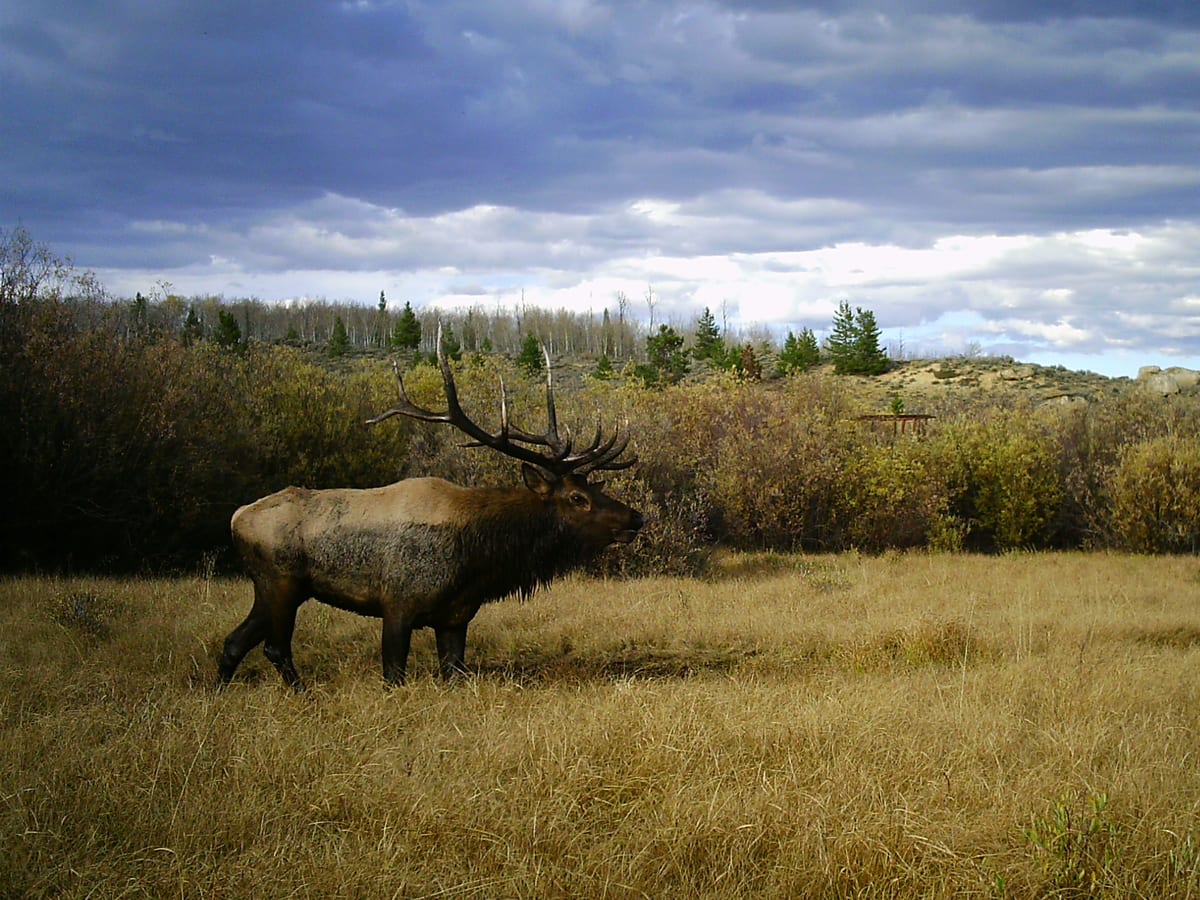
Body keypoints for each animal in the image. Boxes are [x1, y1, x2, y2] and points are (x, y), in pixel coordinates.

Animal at [218, 331, 643, 688]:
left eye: (592, 489)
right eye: (577, 498)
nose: (635, 518)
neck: (477, 561)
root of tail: (237, 517)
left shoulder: (455, 618)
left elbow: (454, 672)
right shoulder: (397, 604)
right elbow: (393, 673)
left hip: (273, 587)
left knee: (234, 641)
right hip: (280, 581)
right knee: (274, 647)